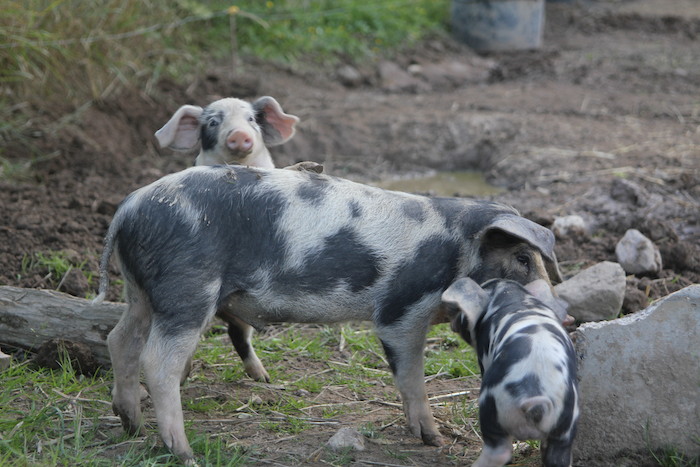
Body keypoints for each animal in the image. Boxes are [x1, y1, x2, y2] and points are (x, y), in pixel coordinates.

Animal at [94, 165, 564, 464]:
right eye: (522, 258)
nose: (560, 309)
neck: (455, 249)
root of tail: (127, 209)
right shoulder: (401, 310)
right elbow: (410, 377)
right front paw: (434, 440)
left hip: (141, 292)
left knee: (120, 339)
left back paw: (131, 424)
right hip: (187, 291)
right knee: (158, 361)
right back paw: (183, 452)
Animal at [442, 278, 580, 467]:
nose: (452, 323)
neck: (514, 296)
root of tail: (534, 401)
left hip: (492, 408)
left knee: (498, 451)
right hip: (565, 426)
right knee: (558, 456)